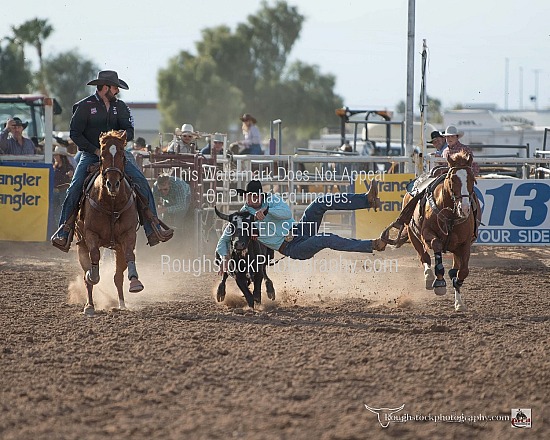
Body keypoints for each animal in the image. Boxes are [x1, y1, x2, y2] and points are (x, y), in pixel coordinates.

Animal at [75, 130, 144, 316]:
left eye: (122, 155)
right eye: (102, 155)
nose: (112, 184)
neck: (111, 203)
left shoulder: (128, 235)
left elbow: (130, 256)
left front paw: (135, 283)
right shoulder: (90, 234)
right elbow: (94, 257)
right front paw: (94, 275)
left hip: (117, 247)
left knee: (118, 276)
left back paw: (121, 304)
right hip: (81, 245)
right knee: (87, 276)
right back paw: (89, 305)